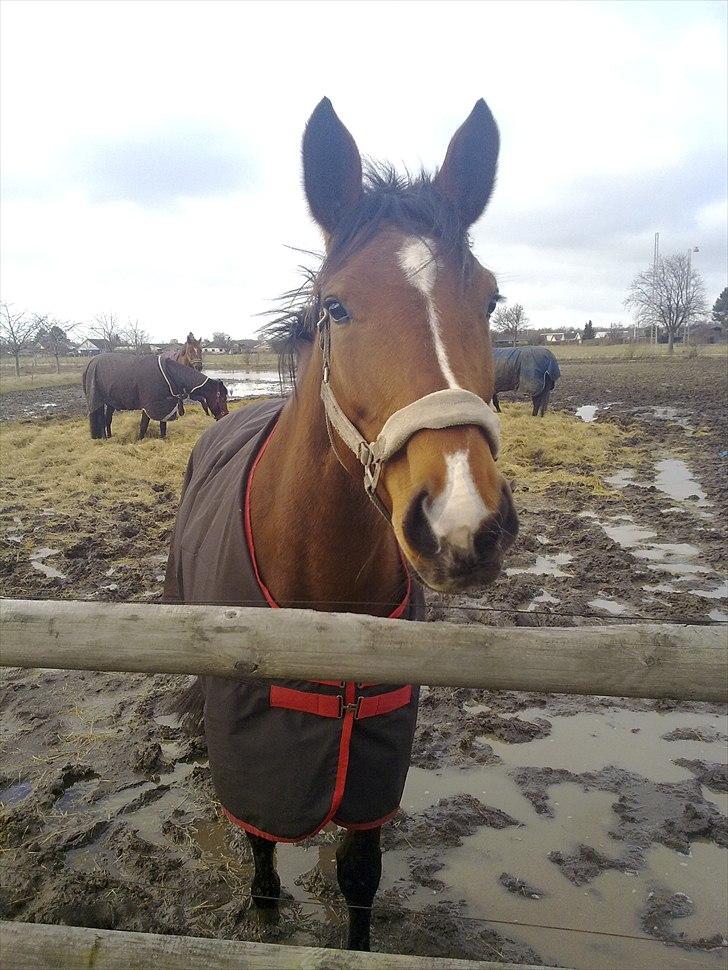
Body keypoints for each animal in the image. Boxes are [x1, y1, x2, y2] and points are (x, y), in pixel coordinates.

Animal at [84, 354, 229, 440]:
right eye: (222, 397)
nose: (225, 415)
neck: (170, 374)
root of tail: (92, 361)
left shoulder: (164, 406)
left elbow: (163, 425)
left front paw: (162, 439)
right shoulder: (150, 406)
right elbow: (143, 425)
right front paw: (139, 440)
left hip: (110, 403)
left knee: (107, 420)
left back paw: (110, 436)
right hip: (98, 401)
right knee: (99, 419)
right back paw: (103, 438)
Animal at [166, 100, 516, 952]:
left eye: (491, 298)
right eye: (336, 306)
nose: (464, 521)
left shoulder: (374, 760)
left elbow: (361, 876)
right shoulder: (255, 750)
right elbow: (260, 846)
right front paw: (264, 914)